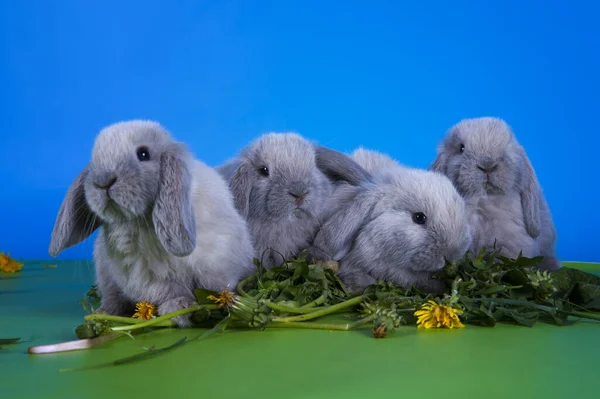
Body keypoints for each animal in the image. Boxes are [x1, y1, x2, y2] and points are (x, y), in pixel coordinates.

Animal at [48, 120, 255, 326]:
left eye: (143, 154)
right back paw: (102, 313)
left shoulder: (215, 262)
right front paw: (179, 309)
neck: (142, 221)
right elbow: (170, 291)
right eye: (94, 158)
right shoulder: (145, 276)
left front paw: (212, 306)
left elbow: (214, 287)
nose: (103, 181)